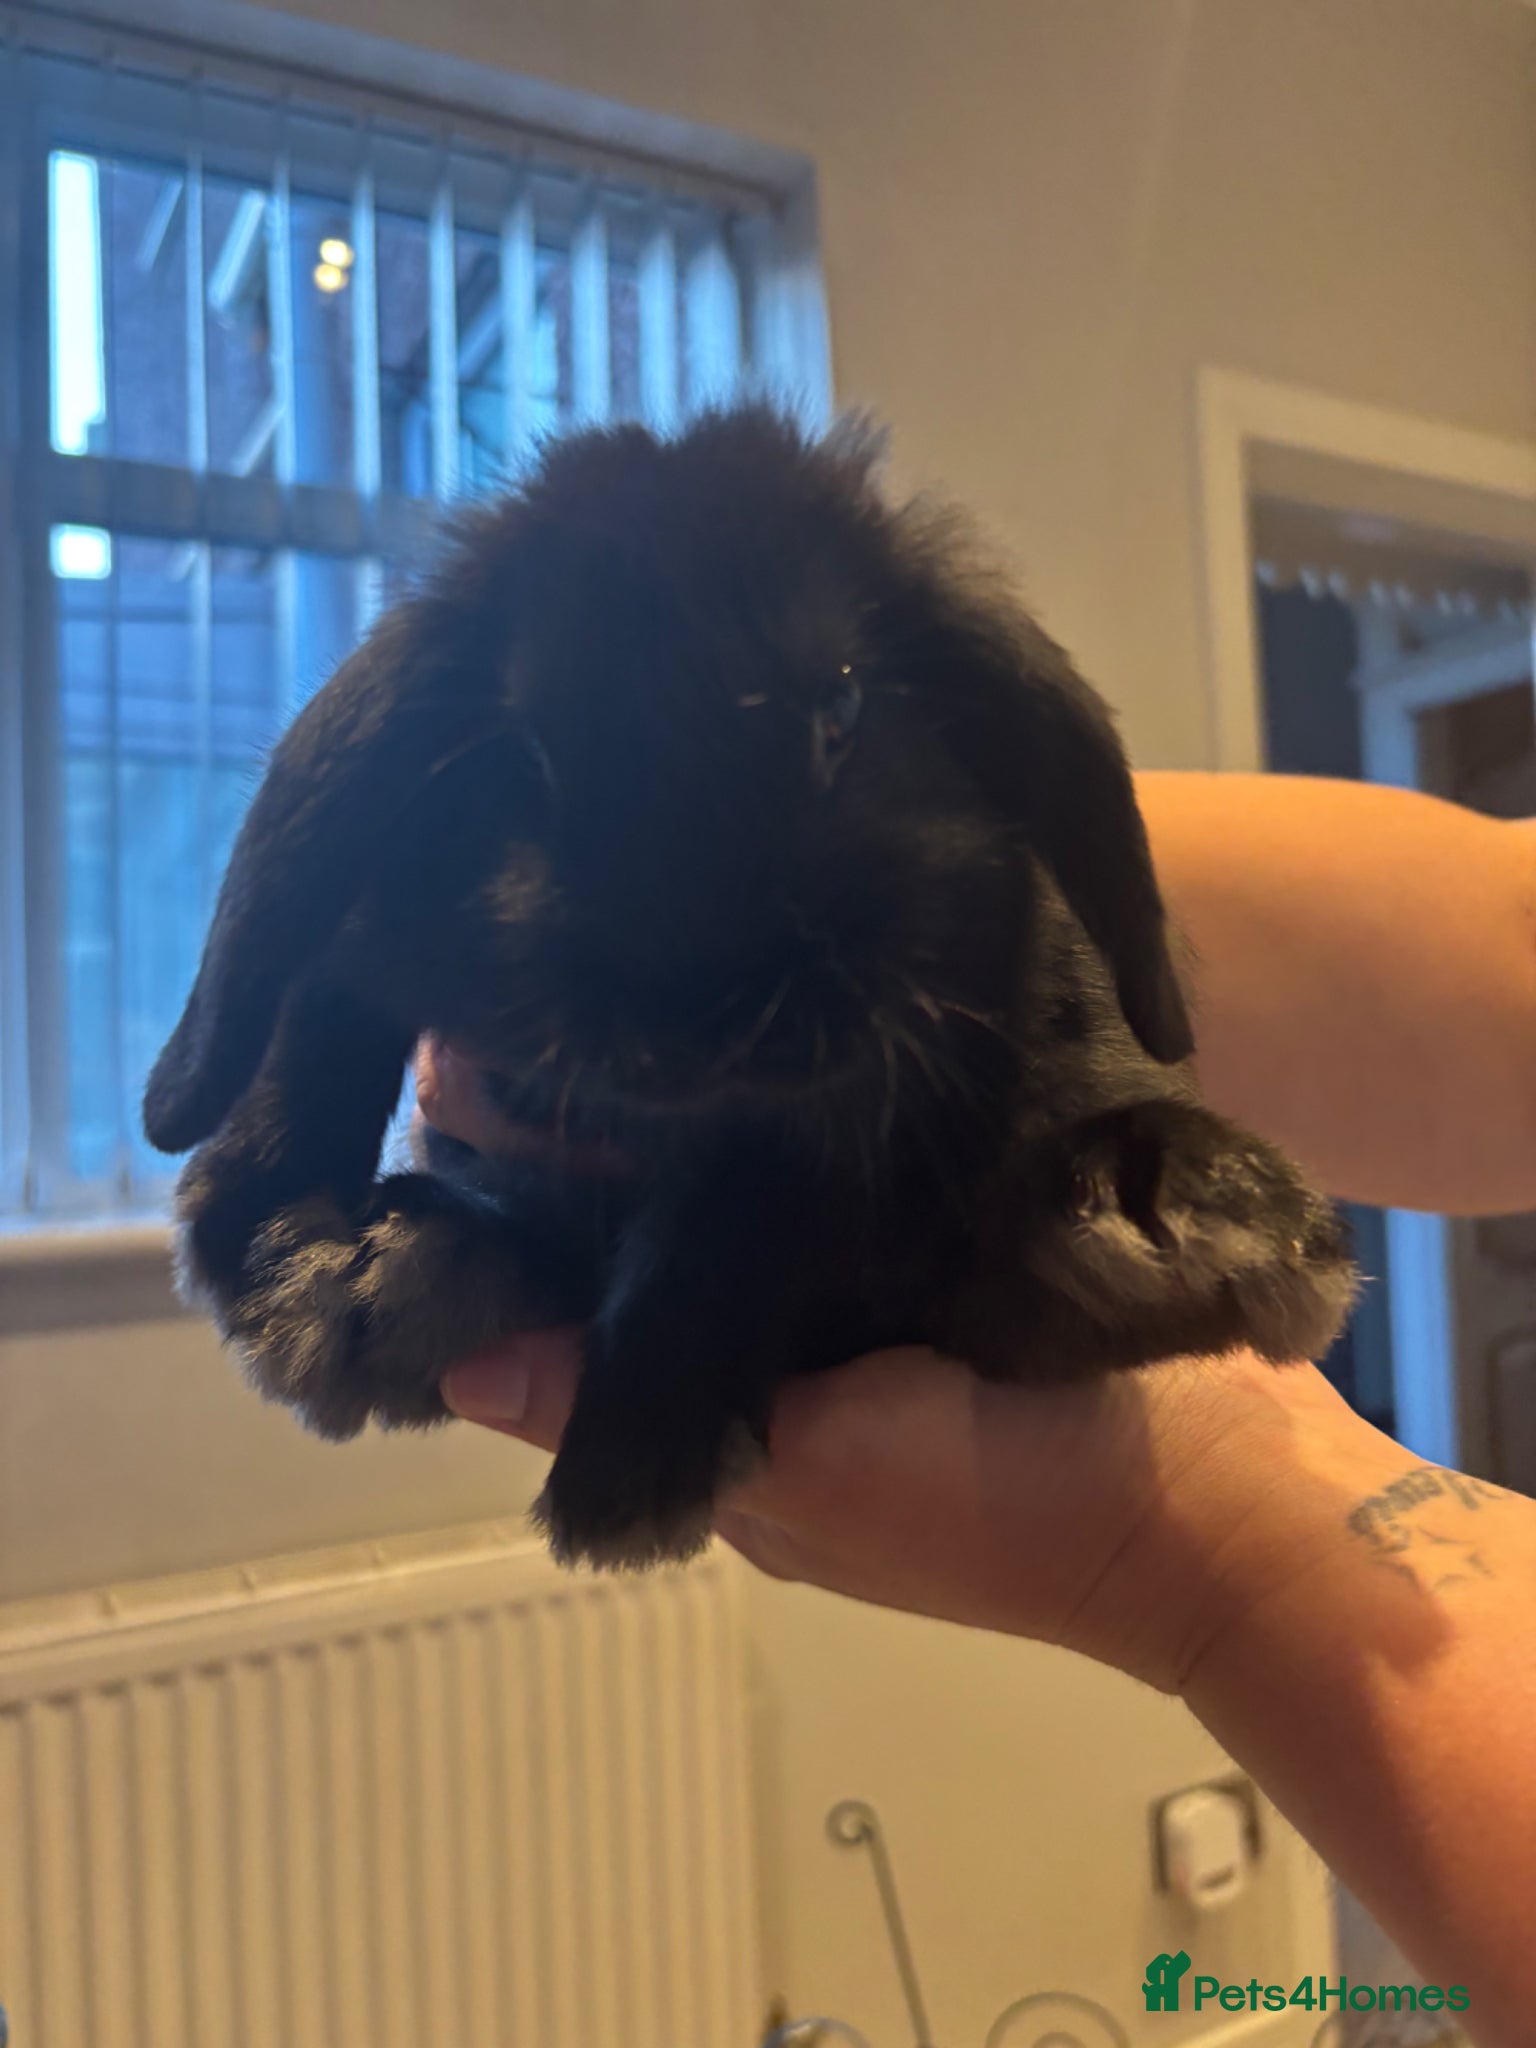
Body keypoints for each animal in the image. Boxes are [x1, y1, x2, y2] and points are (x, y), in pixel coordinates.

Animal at [143, 405, 1356, 1570]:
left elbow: (714, 1232)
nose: (697, 1012)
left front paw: (628, 1479)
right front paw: (263, 1233)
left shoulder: (829, 1126)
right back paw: (383, 1276)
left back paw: (1181, 1213)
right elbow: (318, 1002)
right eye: (530, 749)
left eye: (845, 709)